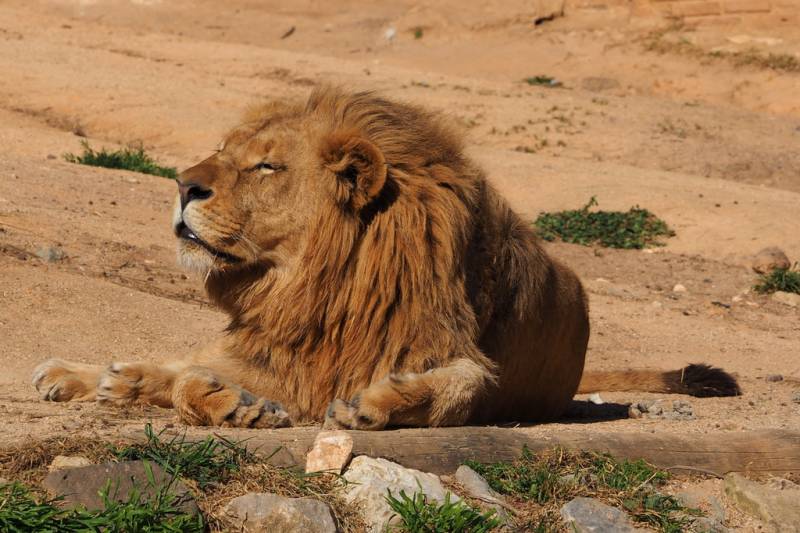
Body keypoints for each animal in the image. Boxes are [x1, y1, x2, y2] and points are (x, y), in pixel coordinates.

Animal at [32, 86, 744, 428]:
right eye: (223, 153)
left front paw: (379, 404)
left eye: (266, 167)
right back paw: (84, 374)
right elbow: (187, 375)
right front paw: (226, 402)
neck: (312, 286)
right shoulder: (282, 354)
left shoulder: (462, 363)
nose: (182, 184)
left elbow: (459, 386)